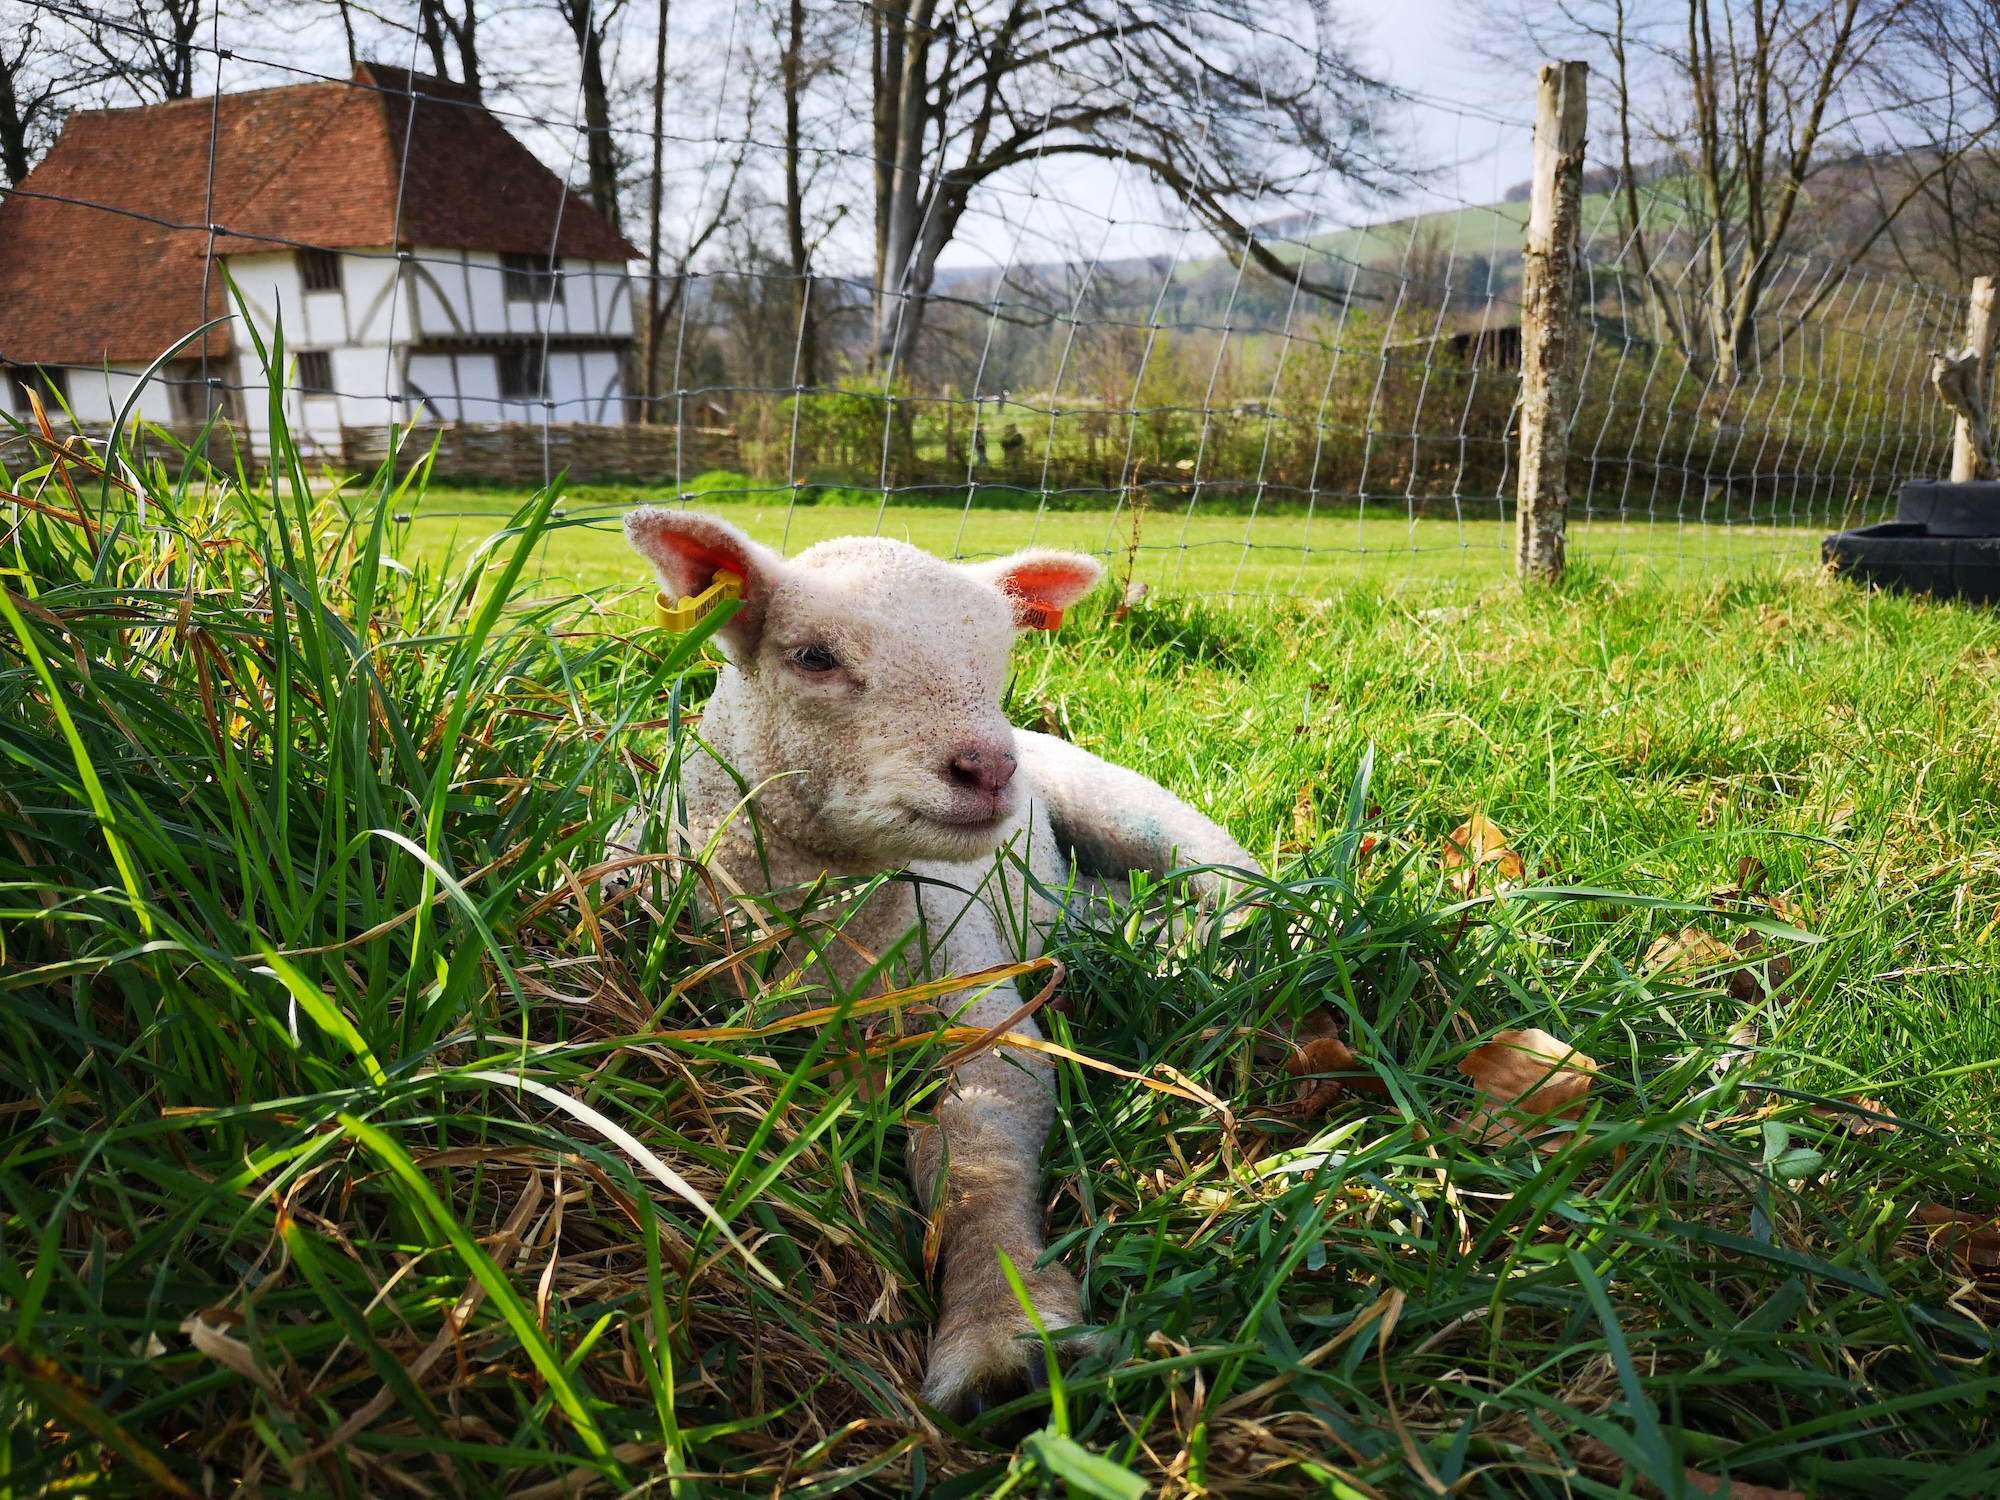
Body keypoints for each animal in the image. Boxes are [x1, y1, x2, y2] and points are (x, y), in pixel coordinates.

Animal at [621, 507, 1260, 1419]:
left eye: (1000, 655)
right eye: (813, 656)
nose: (989, 767)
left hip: (1137, 810)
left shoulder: (980, 1001)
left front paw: (1008, 1333)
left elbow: (979, 1155)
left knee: (1240, 879)